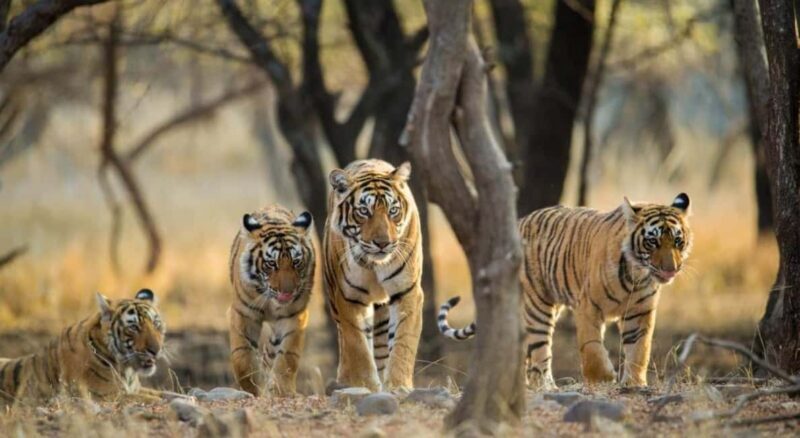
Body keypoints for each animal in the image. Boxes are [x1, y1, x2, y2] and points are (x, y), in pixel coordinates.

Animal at [0, 288, 167, 404]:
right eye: (133, 327)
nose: (155, 350)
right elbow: (156, 399)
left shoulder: (136, 389)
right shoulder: (106, 395)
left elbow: (166, 394)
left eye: (156, 324)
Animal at [228, 204, 315, 396]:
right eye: (271, 264)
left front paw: (281, 391)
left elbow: (287, 356)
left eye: (296, 262)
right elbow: (242, 357)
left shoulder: (294, 316)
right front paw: (252, 389)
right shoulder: (243, 313)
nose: (287, 292)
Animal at [323, 159, 423, 391]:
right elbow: (357, 346)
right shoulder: (349, 297)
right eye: (363, 211)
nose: (383, 243)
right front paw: (364, 385)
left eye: (393, 211)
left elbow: (403, 342)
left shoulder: (407, 291)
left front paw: (398, 386)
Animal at [438, 193, 693, 389]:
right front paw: (603, 378)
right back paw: (546, 386)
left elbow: (639, 349)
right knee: (540, 352)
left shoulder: (640, 313)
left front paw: (634, 383)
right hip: (537, 305)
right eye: (653, 242)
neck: (636, 275)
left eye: (677, 241)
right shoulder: (588, 307)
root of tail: (519, 222)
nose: (671, 269)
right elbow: (591, 347)